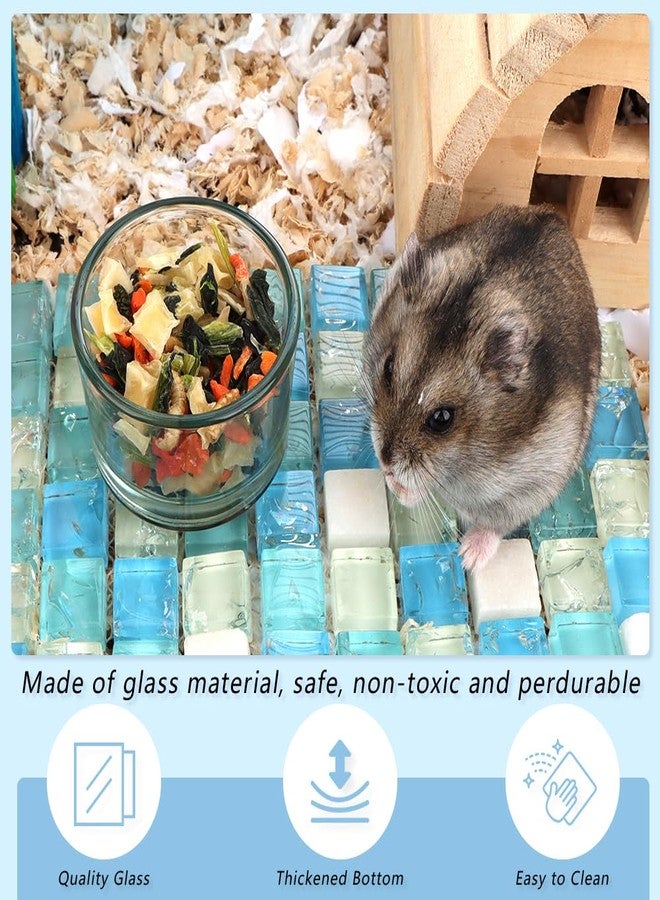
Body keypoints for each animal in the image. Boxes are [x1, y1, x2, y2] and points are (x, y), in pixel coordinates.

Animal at [363, 205, 601, 570]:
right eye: (388, 369)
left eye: (442, 419)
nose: (386, 464)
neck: (464, 459)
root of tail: (554, 216)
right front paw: (398, 486)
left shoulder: (533, 485)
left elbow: (495, 522)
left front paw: (467, 559)